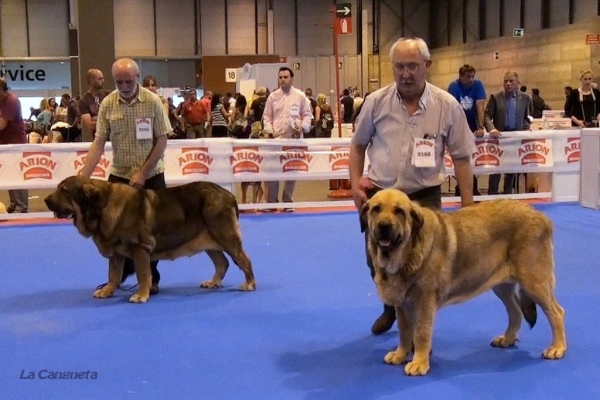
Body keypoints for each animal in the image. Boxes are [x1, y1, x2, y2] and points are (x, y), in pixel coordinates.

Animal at [44, 175, 255, 304]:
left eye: (64, 190)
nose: (46, 200)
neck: (101, 206)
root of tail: (228, 194)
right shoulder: (116, 253)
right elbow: (113, 274)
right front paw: (107, 290)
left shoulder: (140, 249)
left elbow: (143, 274)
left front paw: (141, 294)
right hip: (209, 240)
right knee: (222, 263)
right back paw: (213, 282)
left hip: (225, 235)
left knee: (244, 260)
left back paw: (250, 284)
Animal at [360, 189, 568, 376]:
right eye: (376, 209)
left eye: (399, 211)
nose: (384, 225)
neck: (406, 253)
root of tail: (542, 217)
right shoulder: (402, 305)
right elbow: (404, 331)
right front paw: (400, 354)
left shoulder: (425, 302)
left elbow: (421, 334)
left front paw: (419, 363)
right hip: (502, 286)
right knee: (515, 311)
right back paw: (507, 339)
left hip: (534, 281)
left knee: (556, 312)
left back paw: (557, 347)